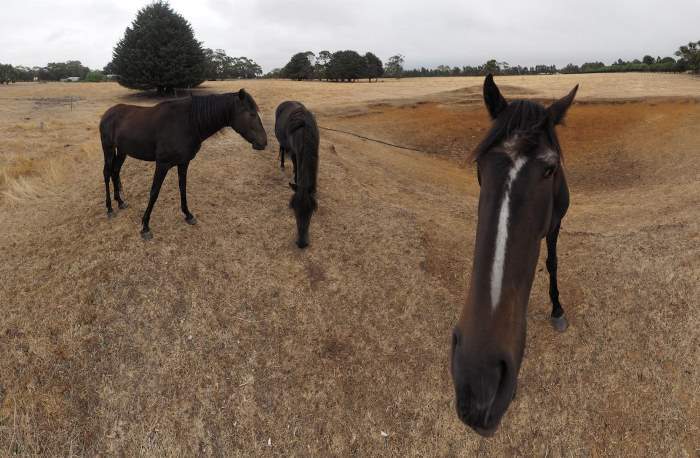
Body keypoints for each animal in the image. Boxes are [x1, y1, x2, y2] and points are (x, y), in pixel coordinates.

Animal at [99, 90, 267, 240]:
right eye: (251, 114)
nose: (264, 142)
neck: (189, 123)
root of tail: (107, 113)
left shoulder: (183, 163)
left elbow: (182, 187)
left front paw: (188, 215)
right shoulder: (162, 164)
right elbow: (154, 192)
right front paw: (145, 226)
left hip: (122, 151)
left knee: (115, 171)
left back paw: (120, 202)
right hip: (108, 149)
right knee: (107, 173)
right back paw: (109, 208)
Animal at [274, 101, 319, 249]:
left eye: (311, 211)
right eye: (293, 210)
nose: (301, 243)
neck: (304, 132)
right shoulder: (295, 152)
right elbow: (296, 165)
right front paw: (295, 177)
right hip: (283, 142)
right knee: (283, 150)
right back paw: (283, 165)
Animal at [451, 75, 578, 436]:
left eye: (549, 169)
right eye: (480, 166)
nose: (479, 379)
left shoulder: (556, 224)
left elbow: (551, 263)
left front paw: (557, 309)